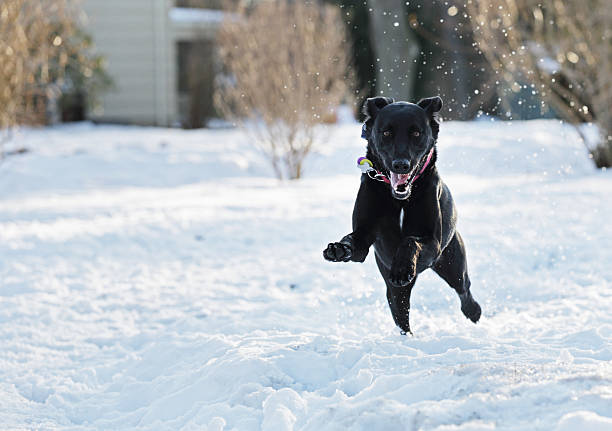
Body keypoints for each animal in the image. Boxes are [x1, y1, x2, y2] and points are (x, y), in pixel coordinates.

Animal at [322, 97, 480, 334]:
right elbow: (352, 241)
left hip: (452, 264)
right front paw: (338, 249)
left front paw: (402, 268)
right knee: (402, 317)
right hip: (395, 293)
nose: (401, 164)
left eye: (416, 133)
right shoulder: (364, 236)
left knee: (464, 289)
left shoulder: (433, 244)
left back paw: (474, 311)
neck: (400, 200)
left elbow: (410, 240)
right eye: (386, 133)